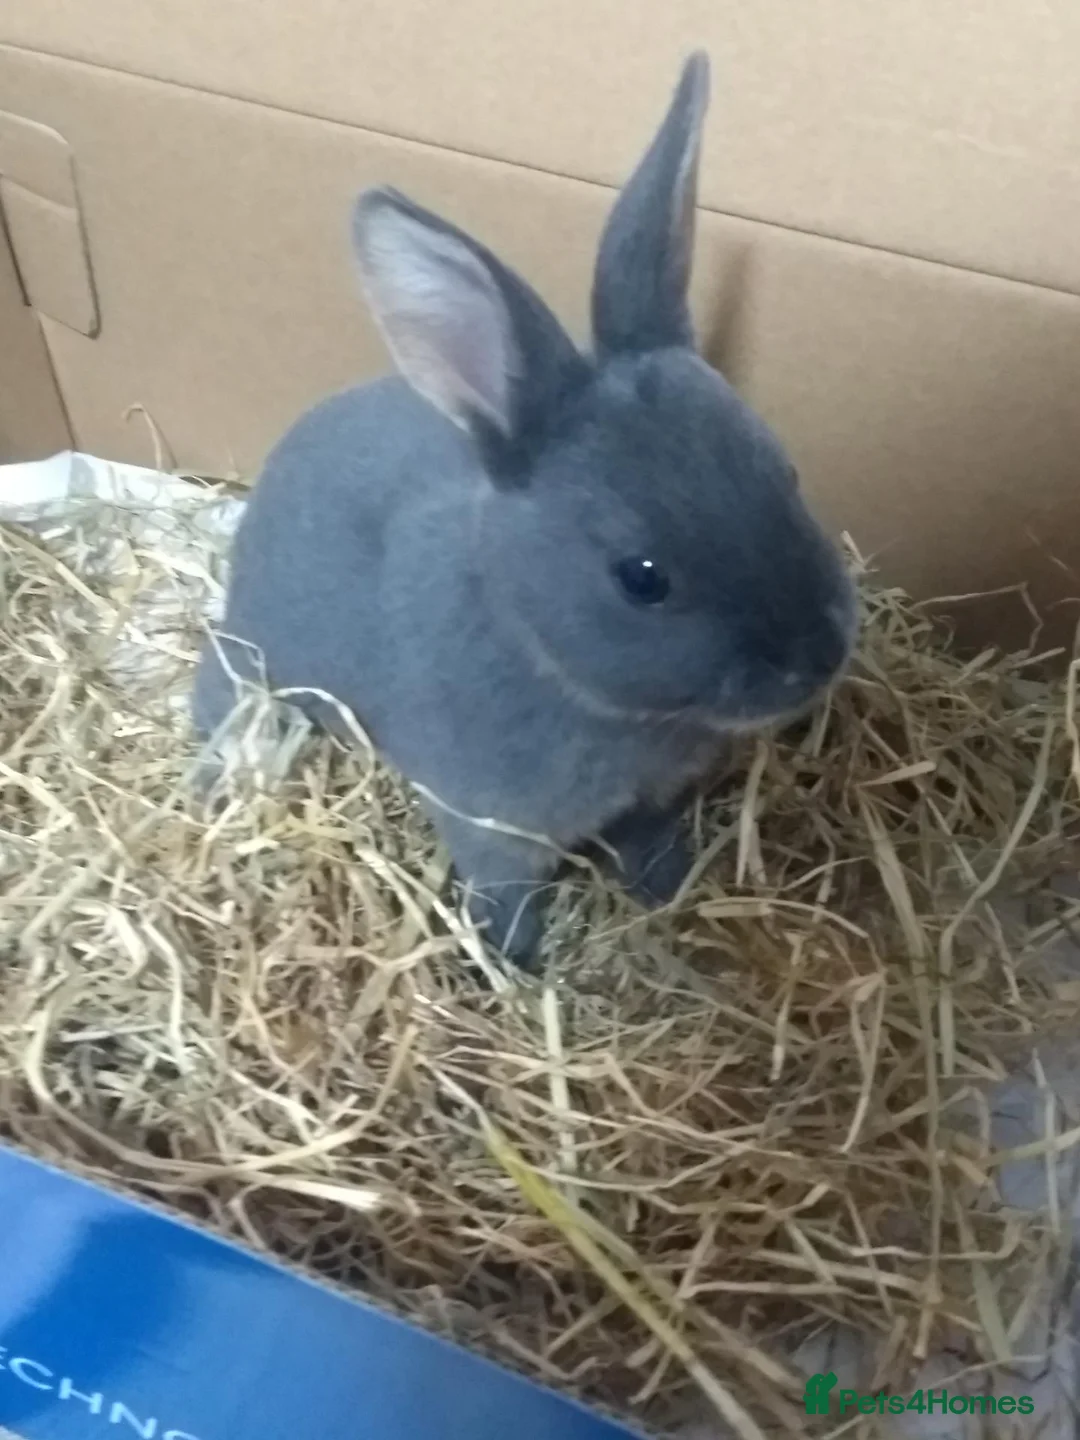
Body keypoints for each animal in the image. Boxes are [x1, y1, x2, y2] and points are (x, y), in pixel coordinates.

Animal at [191, 50, 858, 968]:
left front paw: (668, 894)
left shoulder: (652, 800)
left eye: (786, 474)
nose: (819, 655)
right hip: (253, 657)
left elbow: (650, 844)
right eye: (641, 577)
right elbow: (504, 897)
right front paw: (514, 965)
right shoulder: (491, 829)